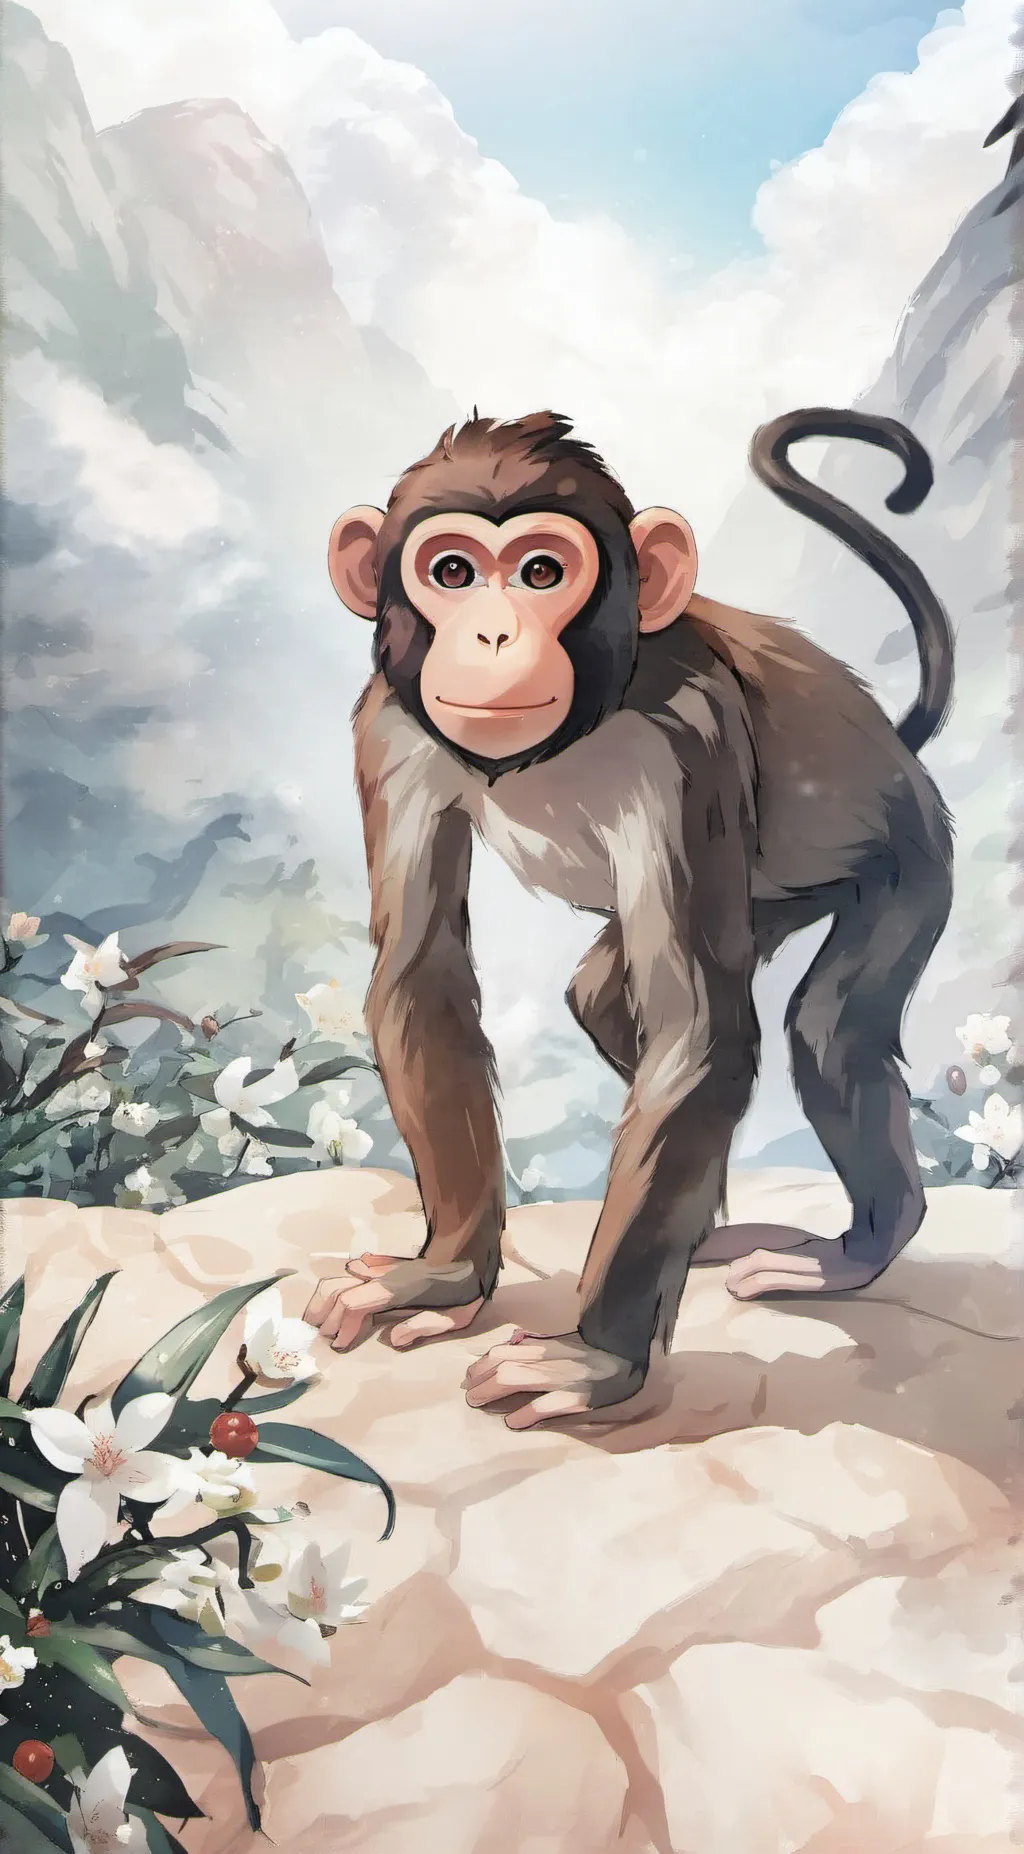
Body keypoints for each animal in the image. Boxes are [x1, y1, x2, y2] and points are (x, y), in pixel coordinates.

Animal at [303, 407, 954, 1427]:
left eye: (541, 572)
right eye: (451, 571)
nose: (493, 634)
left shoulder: (686, 741)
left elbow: (698, 1030)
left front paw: (592, 1360)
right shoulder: (393, 728)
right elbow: (421, 974)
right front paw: (442, 1277)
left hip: (911, 862)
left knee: (829, 1032)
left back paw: (866, 1248)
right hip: (781, 898)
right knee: (608, 996)